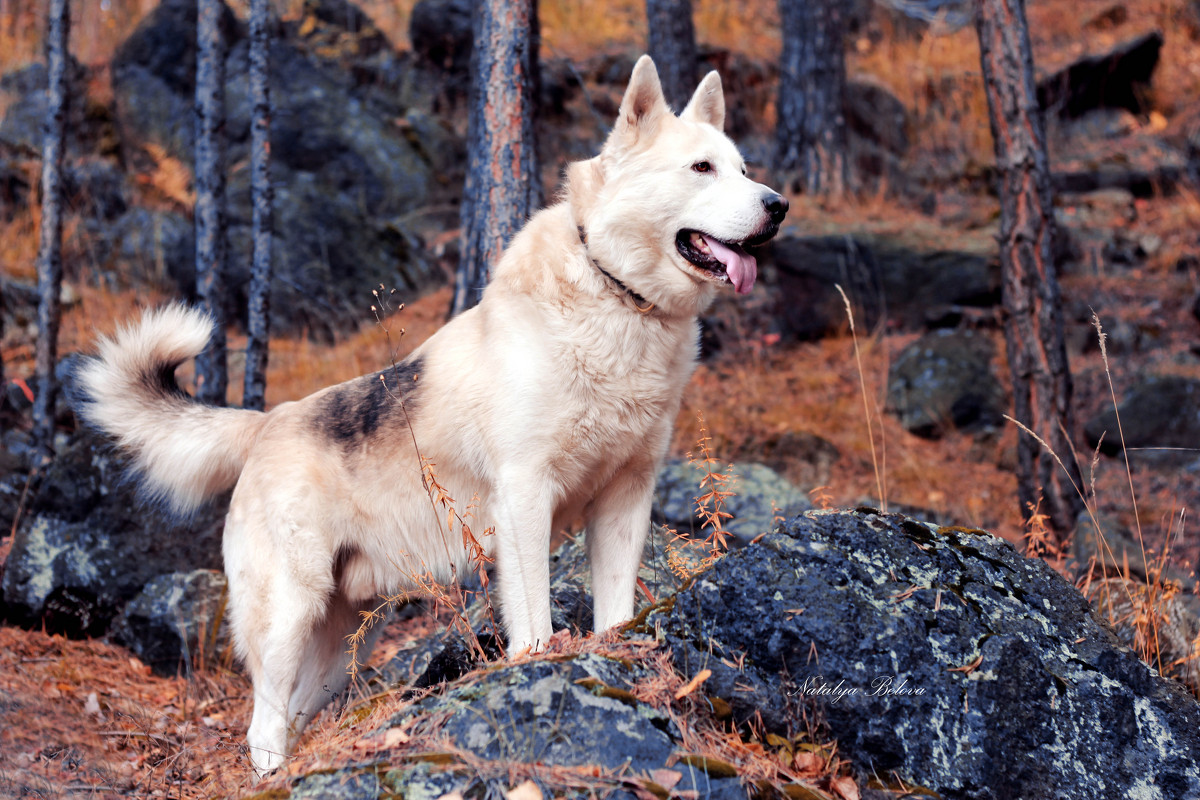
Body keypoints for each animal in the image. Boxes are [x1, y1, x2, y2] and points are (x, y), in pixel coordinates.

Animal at [75, 54, 787, 777]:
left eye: (743, 168)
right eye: (702, 168)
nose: (778, 205)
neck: (617, 299)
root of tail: (267, 421)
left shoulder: (625, 496)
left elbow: (614, 609)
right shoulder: (524, 495)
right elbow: (535, 620)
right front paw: (537, 663)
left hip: (341, 639)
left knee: (296, 712)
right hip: (288, 614)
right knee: (263, 718)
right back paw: (273, 773)